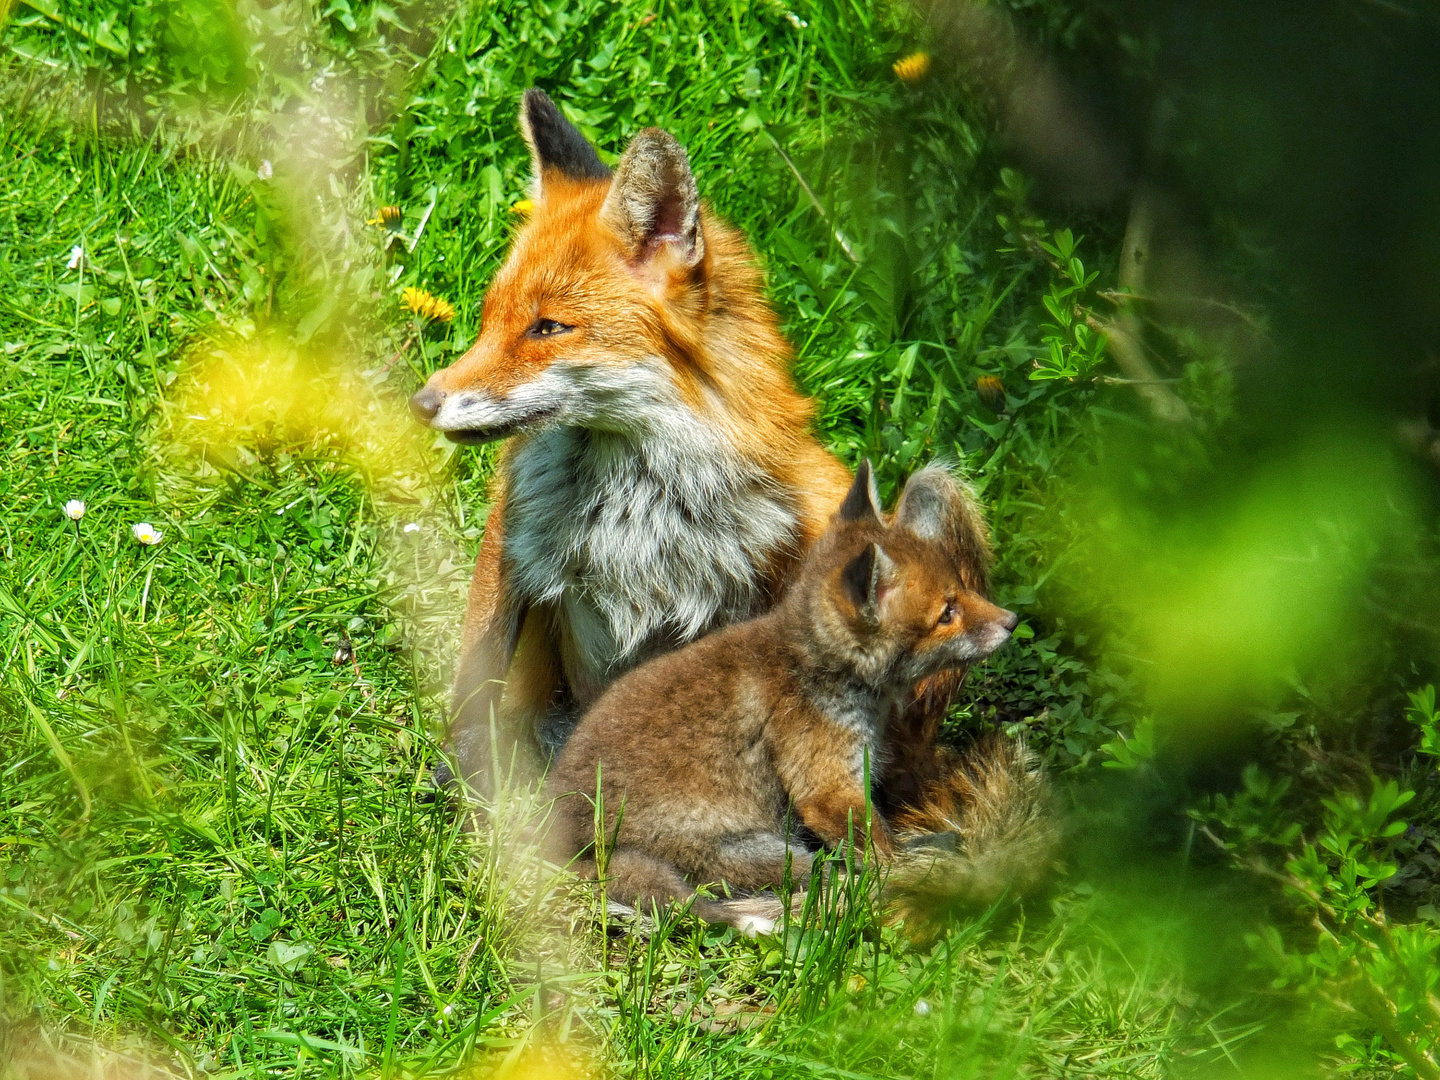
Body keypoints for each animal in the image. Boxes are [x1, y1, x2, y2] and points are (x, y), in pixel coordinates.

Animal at [544, 469, 1054, 933]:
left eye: (962, 588)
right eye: (947, 612)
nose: (1012, 621)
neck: (818, 671)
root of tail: (563, 848)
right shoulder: (826, 787)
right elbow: (882, 853)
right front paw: (915, 864)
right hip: (763, 850)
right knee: (827, 877)